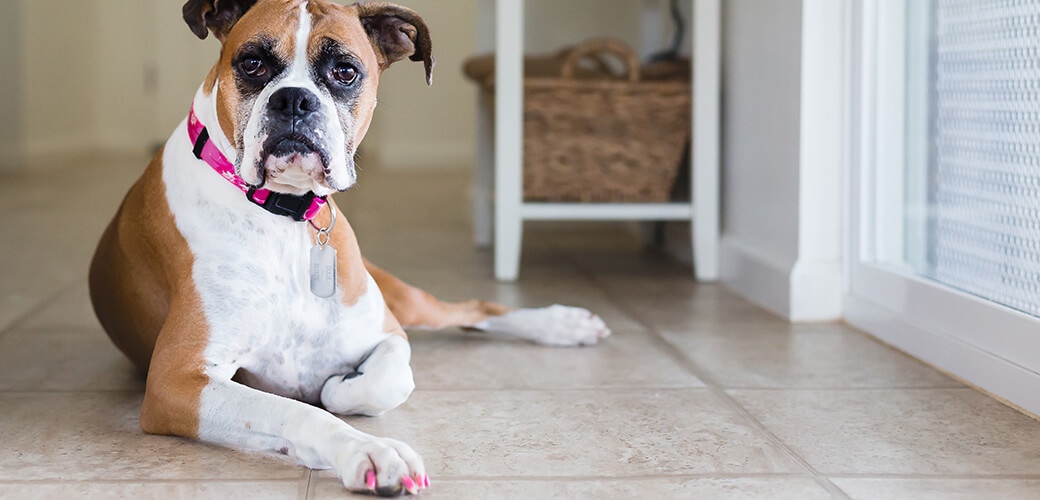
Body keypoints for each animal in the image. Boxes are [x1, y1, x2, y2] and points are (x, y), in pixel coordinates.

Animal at [89, 0, 611, 494]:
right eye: (253, 63)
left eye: (345, 72)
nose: (294, 99)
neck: (285, 218)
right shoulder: (177, 380)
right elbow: (303, 410)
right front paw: (371, 451)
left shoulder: (387, 333)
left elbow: (379, 382)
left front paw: (342, 383)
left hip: (404, 299)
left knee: (474, 309)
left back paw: (561, 324)